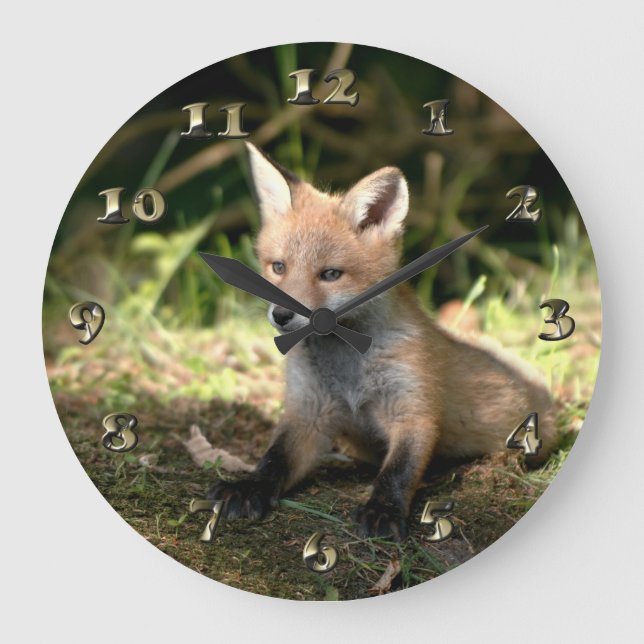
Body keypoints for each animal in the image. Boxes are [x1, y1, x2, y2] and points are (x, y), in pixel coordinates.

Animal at [207, 142, 558, 540]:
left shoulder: (413, 409)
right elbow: (274, 458)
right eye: (278, 267)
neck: (348, 367)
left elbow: (398, 471)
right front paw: (249, 487)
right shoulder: (308, 411)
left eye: (330, 274)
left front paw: (383, 510)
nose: (281, 316)